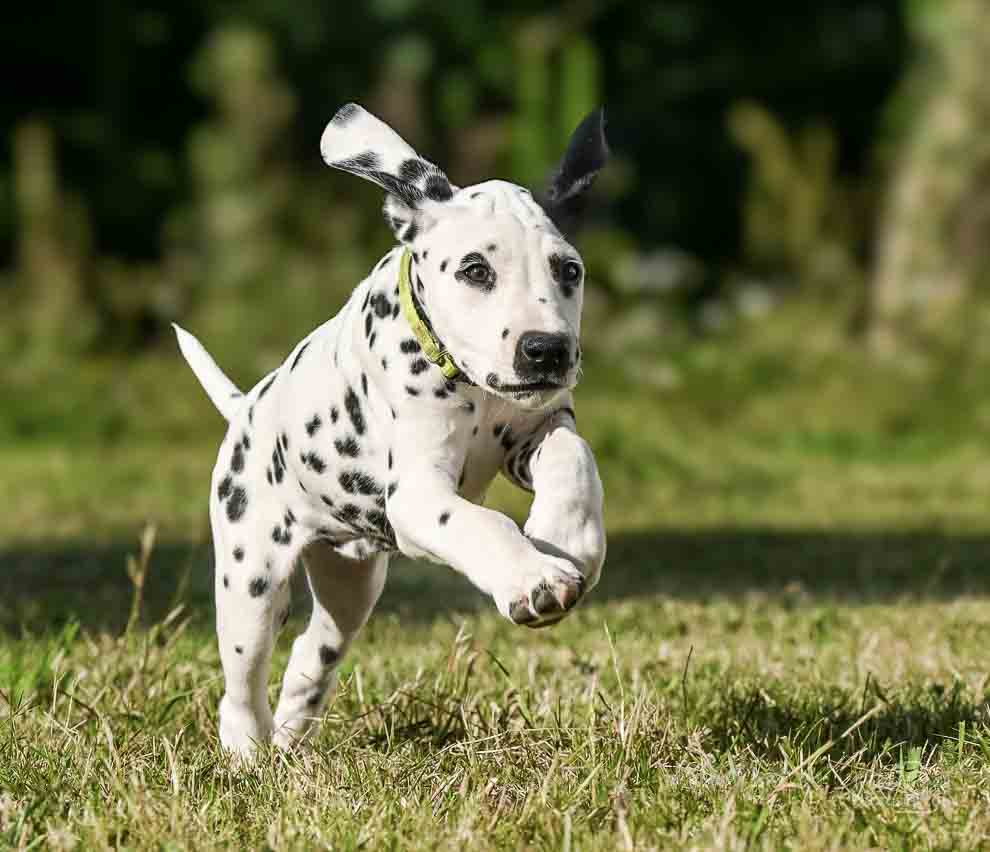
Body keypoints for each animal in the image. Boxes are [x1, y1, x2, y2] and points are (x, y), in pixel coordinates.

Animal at [179, 103, 612, 764]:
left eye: (570, 271)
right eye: (475, 270)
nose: (546, 351)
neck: (469, 381)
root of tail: (246, 407)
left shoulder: (536, 428)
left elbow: (574, 455)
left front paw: (569, 536)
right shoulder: (417, 497)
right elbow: (482, 523)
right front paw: (531, 578)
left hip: (351, 586)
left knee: (312, 653)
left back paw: (291, 735)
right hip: (250, 581)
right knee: (242, 682)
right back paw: (248, 753)